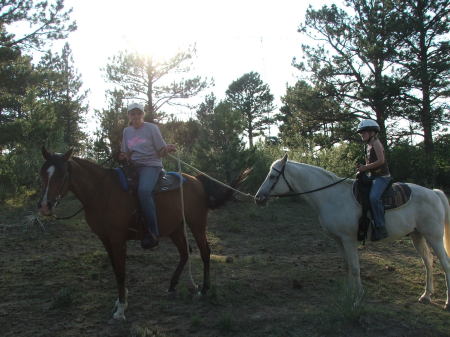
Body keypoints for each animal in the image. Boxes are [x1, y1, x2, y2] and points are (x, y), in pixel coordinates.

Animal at [37, 147, 250, 318]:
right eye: (42, 174)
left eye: (61, 174)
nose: (45, 206)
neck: (102, 192)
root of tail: (196, 180)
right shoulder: (105, 239)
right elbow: (115, 269)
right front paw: (120, 301)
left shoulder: (117, 239)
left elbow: (121, 272)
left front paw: (121, 309)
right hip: (175, 228)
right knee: (184, 253)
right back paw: (172, 286)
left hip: (196, 223)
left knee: (205, 251)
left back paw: (204, 289)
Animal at [255, 154, 448, 308]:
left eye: (273, 176)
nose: (258, 198)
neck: (331, 197)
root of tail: (434, 193)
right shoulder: (338, 240)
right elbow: (347, 265)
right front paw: (349, 291)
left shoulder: (348, 239)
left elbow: (355, 268)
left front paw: (358, 295)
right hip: (417, 235)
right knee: (428, 262)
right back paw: (426, 296)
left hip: (434, 237)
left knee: (445, 263)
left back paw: (446, 302)